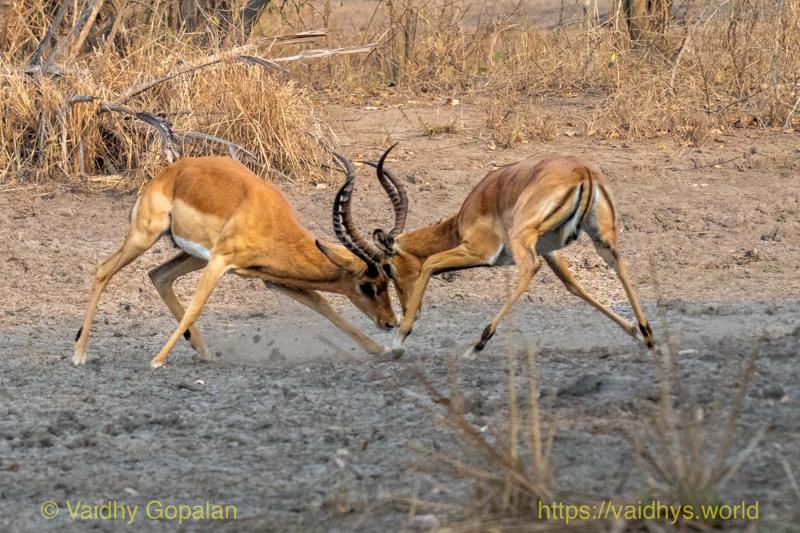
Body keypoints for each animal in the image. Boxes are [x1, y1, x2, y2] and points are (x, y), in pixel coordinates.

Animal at [73, 153, 398, 369]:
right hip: (145, 237)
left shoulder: (271, 278)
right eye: (368, 285)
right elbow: (196, 308)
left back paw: (204, 351)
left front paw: (384, 350)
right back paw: (79, 354)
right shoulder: (220, 262)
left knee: (159, 275)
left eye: (387, 279)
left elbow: (325, 306)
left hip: (192, 256)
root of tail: (165, 176)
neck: (268, 219)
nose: (390, 323)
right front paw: (157, 360)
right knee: (103, 270)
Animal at [338, 144, 655, 359]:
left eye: (387, 268)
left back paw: (477, 344)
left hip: (520, 240)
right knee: (619, 263)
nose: (402, 310)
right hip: (602, 236)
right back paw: (648, 335)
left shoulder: (480, 251)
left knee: (529, 269)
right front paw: (632, 332)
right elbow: (573, 285)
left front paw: (399, 340)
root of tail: (582, 171)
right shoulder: (550, 251)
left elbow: (430, 262)